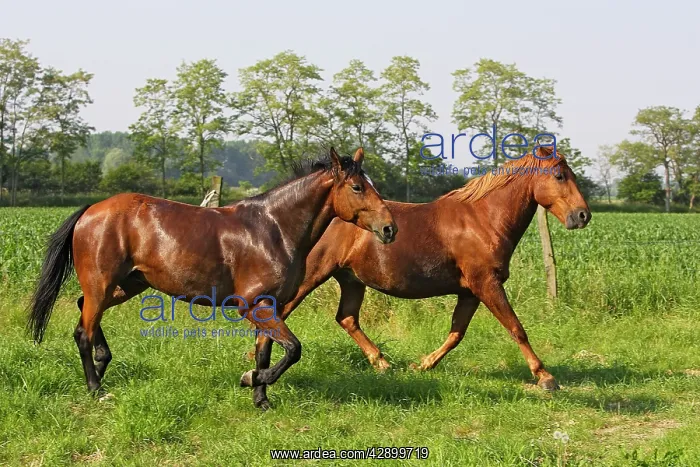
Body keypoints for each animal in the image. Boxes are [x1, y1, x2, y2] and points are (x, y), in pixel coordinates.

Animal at [27, 147, 397, 407]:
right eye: (358, 187)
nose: (389, 229)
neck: (273, 229)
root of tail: (90, 211)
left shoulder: (271, 305)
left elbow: (266, 351)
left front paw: (261, 399)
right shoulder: (252, 305)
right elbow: (293, 349)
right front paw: (250, 379)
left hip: (127, 284)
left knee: (83, 310)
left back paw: (103, 364)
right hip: (102, 283)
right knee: (83, 332)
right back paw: (96, 389)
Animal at [250, 147, 591, 407]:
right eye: (560, 176)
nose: (583, 215)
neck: (483, 220)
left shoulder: (470, 292)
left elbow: (456, 334)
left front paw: (422, 364)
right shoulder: (487, 284)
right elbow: (516, 329)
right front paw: (546, 377)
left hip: (351, 280)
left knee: (346, 318)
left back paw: (382, 363)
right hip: (311, 277)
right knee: (278, 314)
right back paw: (256, 364)